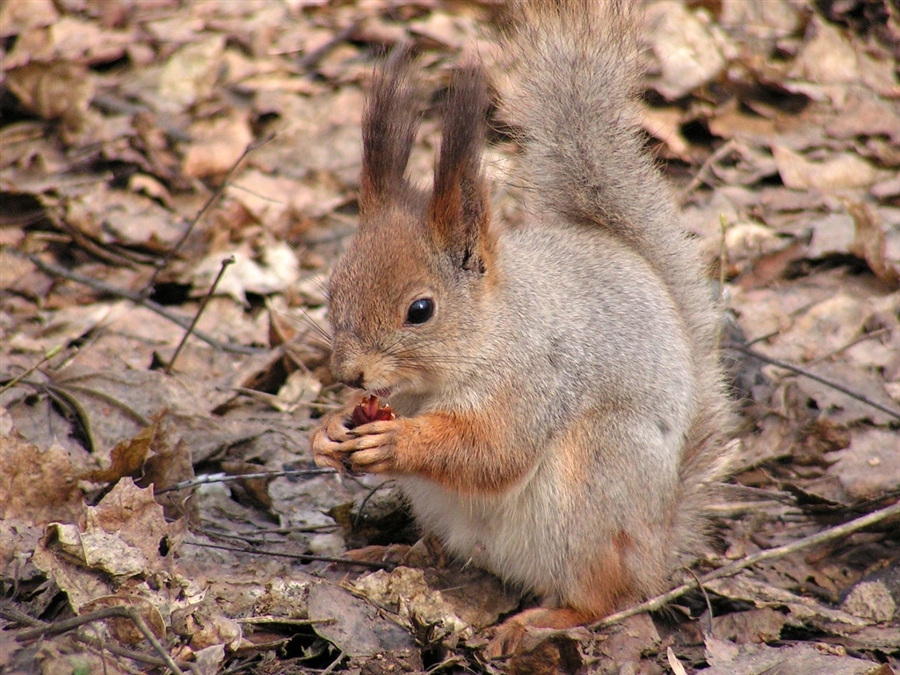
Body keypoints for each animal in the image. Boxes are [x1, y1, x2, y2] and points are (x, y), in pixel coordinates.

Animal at [312, 0, 736, 656]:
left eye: (421, 310)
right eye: (332, 289)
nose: (349, 373)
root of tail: (658, 546)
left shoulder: (537, 377)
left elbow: (495, 450)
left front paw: (398, 442)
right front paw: (329, 430)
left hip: (596, 487)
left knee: (605, 597)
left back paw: (539, 622)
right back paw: (398, 554)